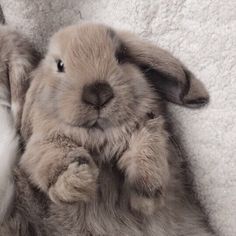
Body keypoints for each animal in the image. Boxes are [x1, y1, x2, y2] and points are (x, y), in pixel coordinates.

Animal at [0, 22, 214, 236]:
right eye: (60, 65)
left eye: (121, 56)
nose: (98, 93)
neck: (100, 138)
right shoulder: (43, 144)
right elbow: (53, 156)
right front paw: (78, 180)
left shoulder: (151, 131)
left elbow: (148, 153)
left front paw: (144, 196)